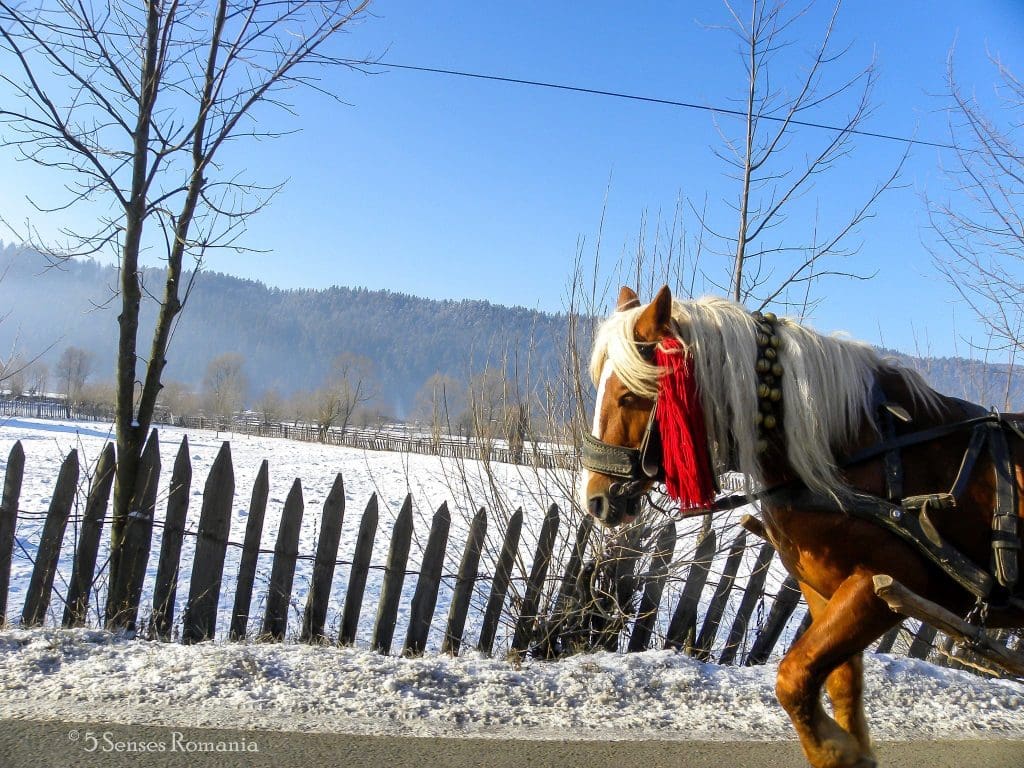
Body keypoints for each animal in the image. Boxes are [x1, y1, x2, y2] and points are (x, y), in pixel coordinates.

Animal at [585, 286, 1024, 768]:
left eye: (629, 395)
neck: (858, 448)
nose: (597, 499)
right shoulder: (824, 590)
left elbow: (793, 677)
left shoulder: (882, 583)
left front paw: (836, 751)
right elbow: (838, 684)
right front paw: (850, 749)